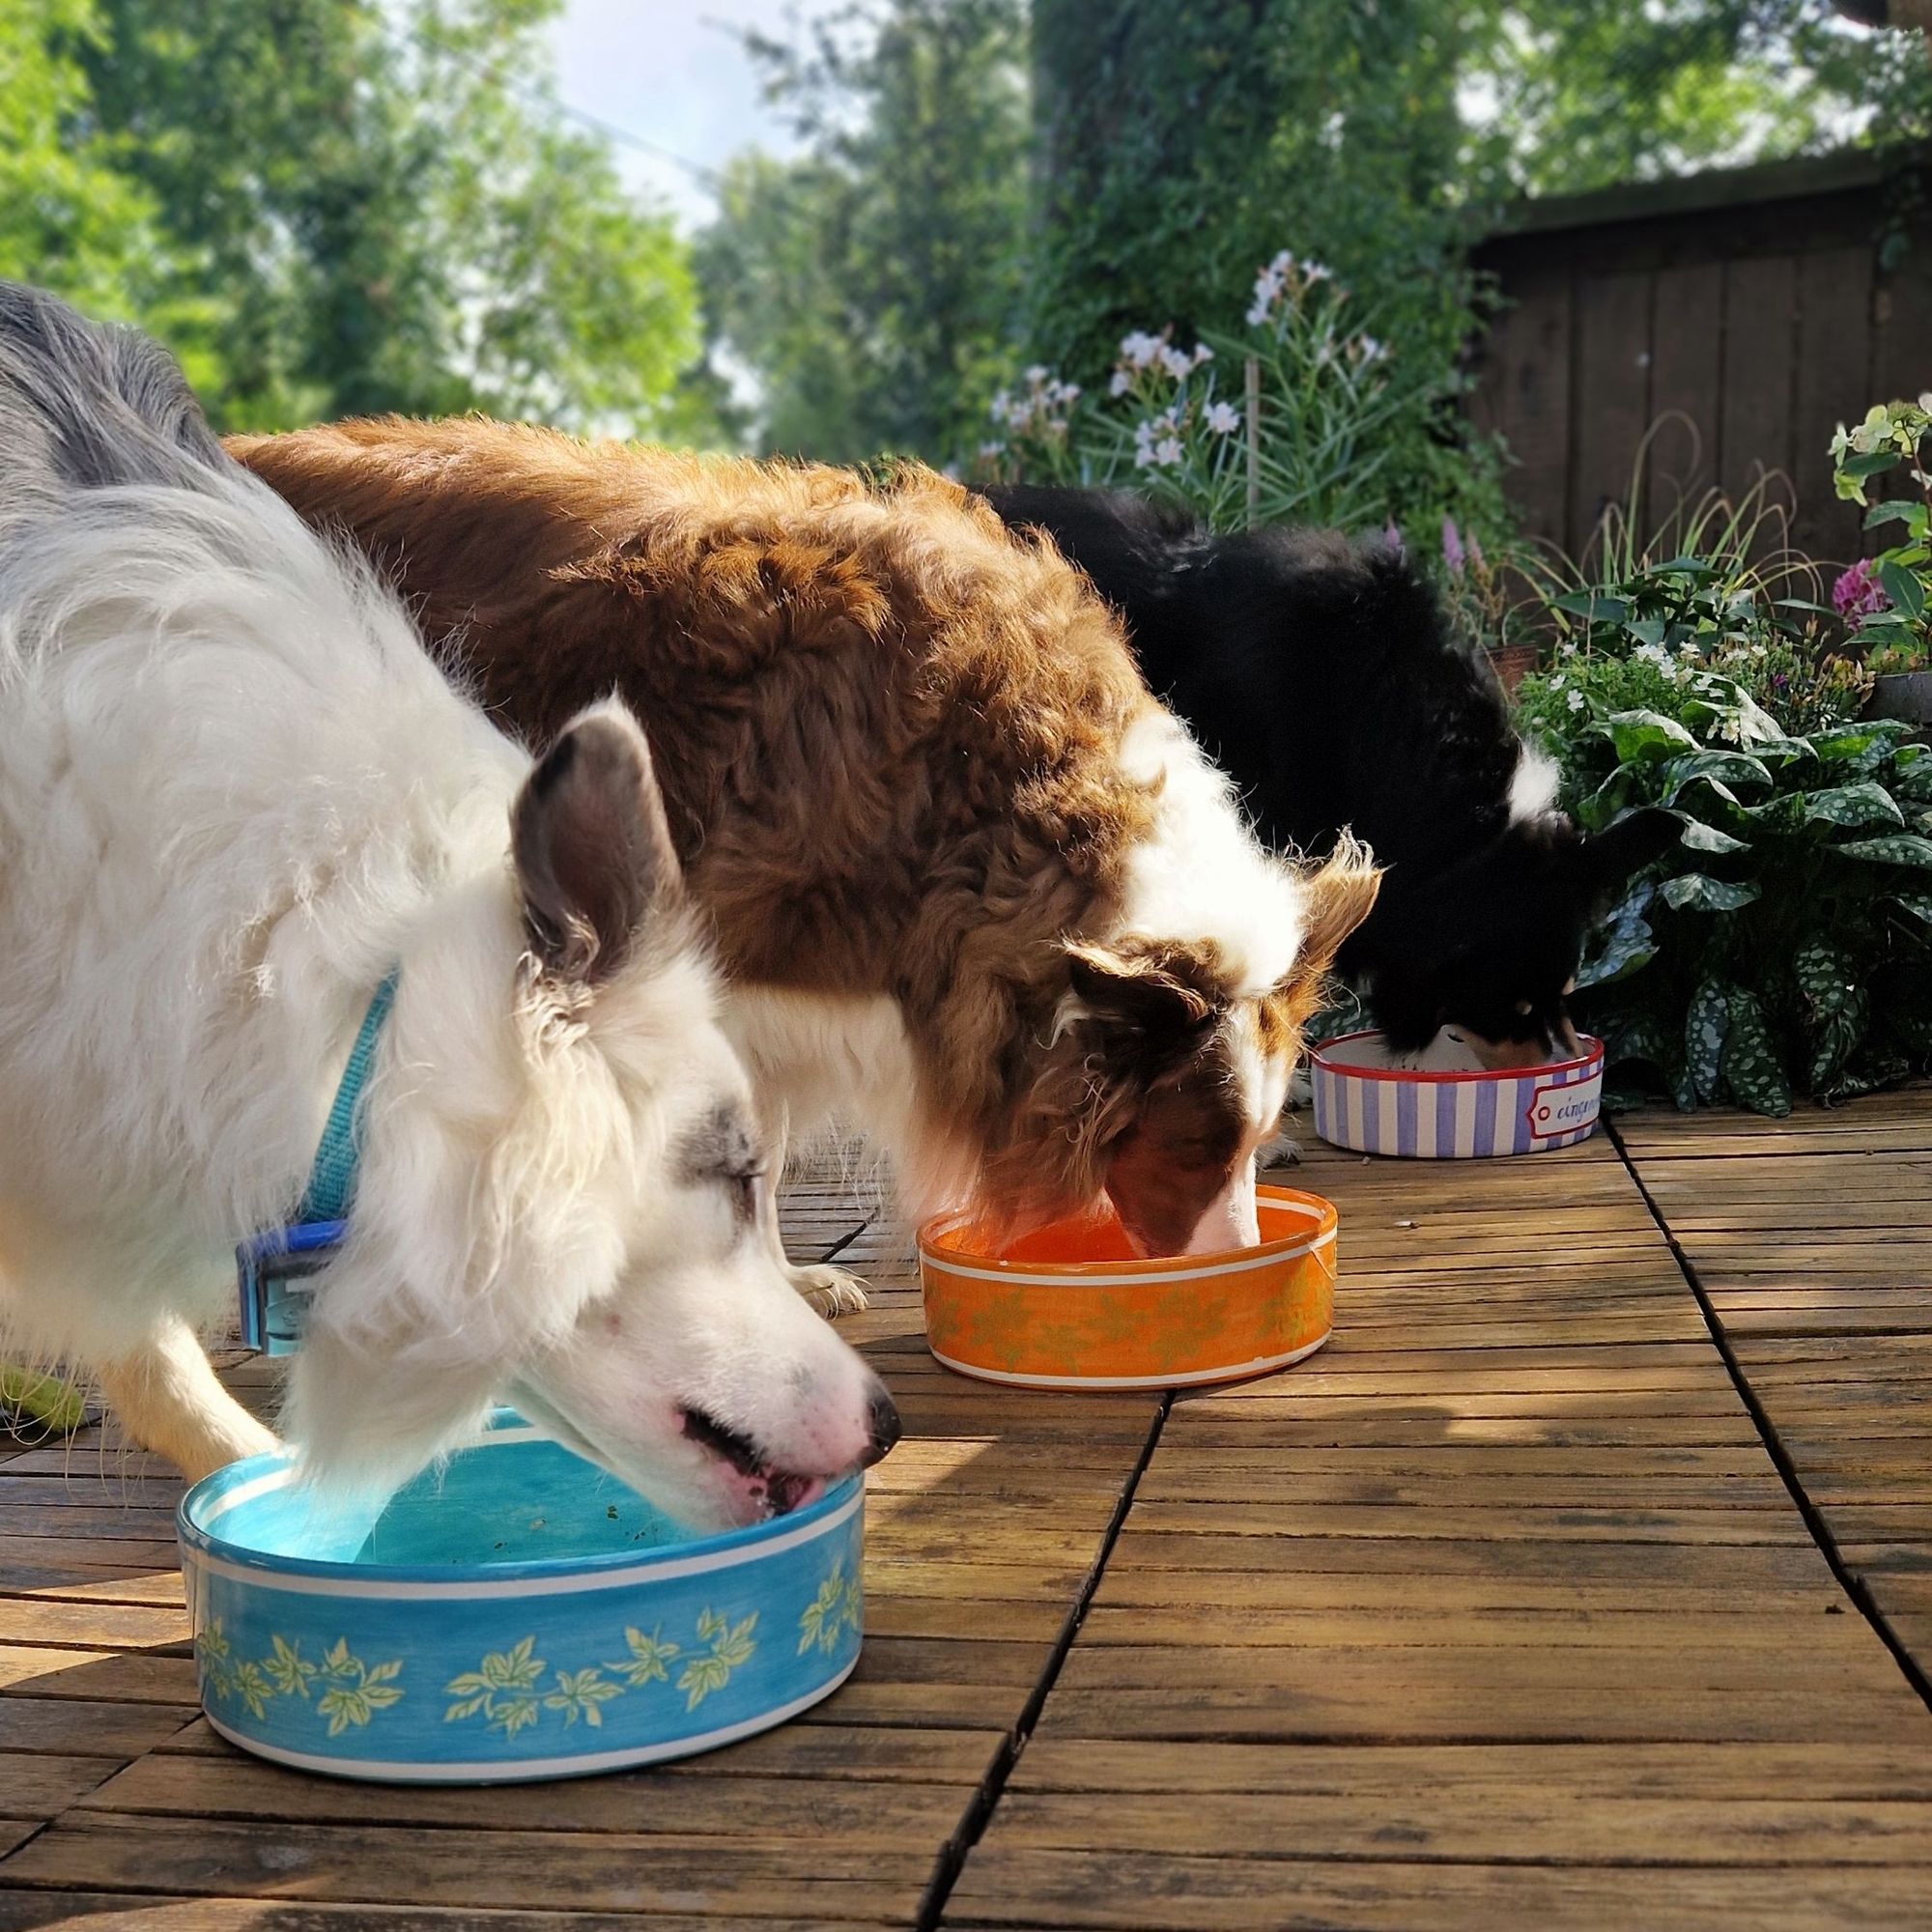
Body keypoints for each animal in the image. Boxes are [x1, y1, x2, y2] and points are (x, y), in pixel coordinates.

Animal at [230, 425, 1376, 1298]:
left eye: (1254, 1144)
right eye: (1191, 1147)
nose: (1239, 1267)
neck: (984, 788)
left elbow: (767, 1147)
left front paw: (785, 1280)